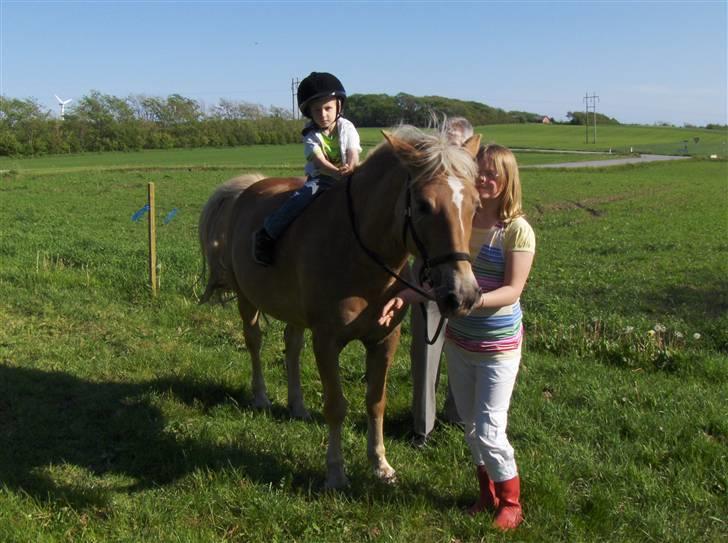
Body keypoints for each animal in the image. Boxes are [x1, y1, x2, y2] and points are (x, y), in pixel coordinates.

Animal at [199, 125, 484, 490]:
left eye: (476, 205)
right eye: (422, 205)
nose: (462, 294)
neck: (359, 254)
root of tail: (250, 188)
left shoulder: (384, 340)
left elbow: (375, 401)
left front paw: (380, 465)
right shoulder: (327, 341)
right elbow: (336, 406)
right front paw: (335, 472)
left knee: (292, 345)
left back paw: (297, 405)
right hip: (248, 300)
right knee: (255, 343)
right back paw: (261, 396)